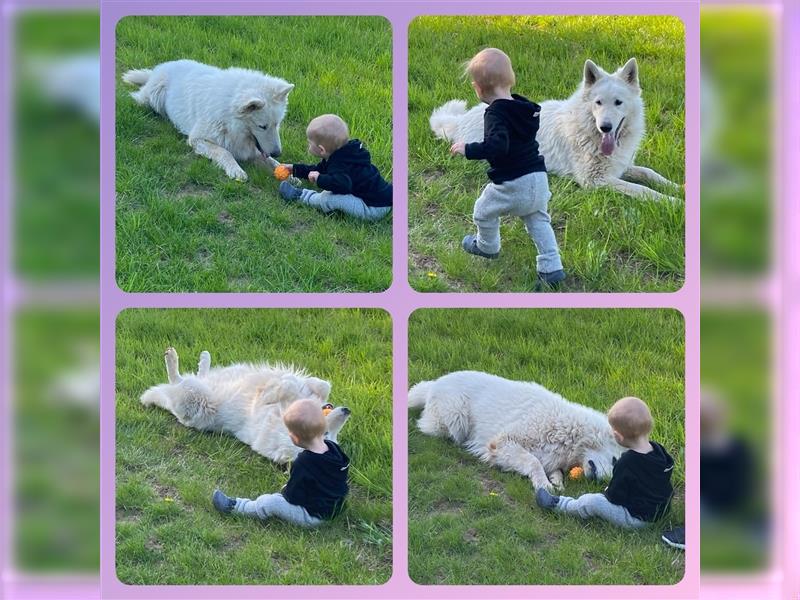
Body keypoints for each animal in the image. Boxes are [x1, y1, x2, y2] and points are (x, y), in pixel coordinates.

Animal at [125, 59, 296, 182]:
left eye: (277, 124)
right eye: (262, 126)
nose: (278, 152)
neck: (229, 118)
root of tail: (161, 67)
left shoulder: (253, 149)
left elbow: (272, 162)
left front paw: (289, 174)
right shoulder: (198, 139)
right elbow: (224, 152)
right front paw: (236, 170)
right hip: (153, 98)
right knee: (138, 98)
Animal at [140, 346, 350, 464]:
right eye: (327, 434)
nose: (347, 410)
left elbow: (288, 387)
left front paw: (282, 387)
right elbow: (322, 385)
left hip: (197, 398)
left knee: (178, 380)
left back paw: (173, 358)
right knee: (197, 375)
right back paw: (202, 358)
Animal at [410, 370, 628, 492]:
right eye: (615, 461)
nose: (603, 482)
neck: (571, 432)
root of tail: (436, 382)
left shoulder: (549, 457)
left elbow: (552, 468)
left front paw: (557, 482)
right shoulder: (505, 442)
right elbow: (533, 462)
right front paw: (543, 485)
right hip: (455, 420)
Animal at [432, 57, 680, 202]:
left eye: (618, 102)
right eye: (598, 103)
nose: (605, 127)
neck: (588, 132)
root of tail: (461, 120)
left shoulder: (620, 167)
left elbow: (650, 174)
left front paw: (678, 187)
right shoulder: (595, 180)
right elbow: (644, 190)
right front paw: (673, 203)